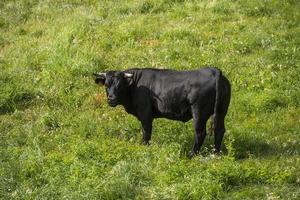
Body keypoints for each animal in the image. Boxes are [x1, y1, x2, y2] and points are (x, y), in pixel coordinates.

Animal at [95, 68, 231, 157]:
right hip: (221, 111)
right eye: (106, 85)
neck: (135, 86)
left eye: (120, 85)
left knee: (200, 133)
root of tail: (213, 70)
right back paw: (215, 154)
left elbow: (146, 132)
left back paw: (192, 154)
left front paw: (143, 147)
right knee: (219, 130)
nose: (111, 98)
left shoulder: (145, 114)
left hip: (199, 112)